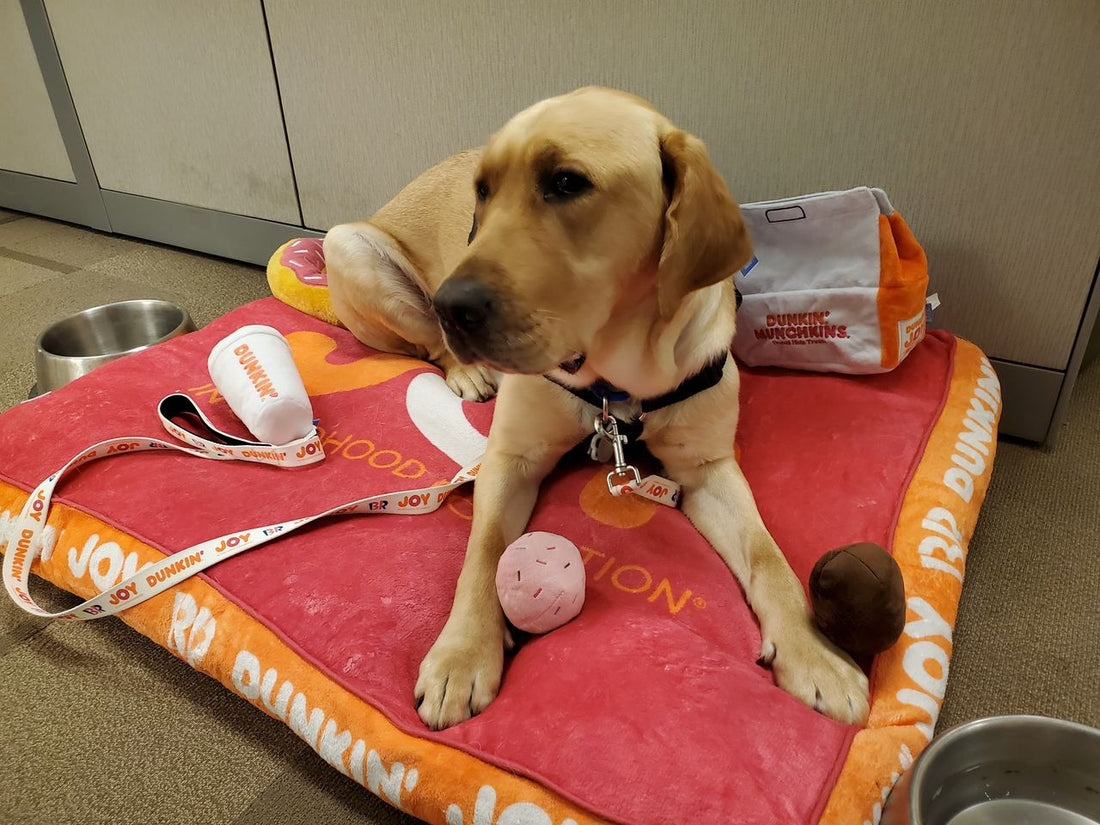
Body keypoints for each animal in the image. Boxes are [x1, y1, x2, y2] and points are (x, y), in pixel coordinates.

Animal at [321, 89, 871, 730]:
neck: (618, 380)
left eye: (566, 182)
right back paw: (465, 370)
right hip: (348, 246)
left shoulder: (708, 470)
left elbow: (768, 555)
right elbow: (483, 550)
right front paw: (462, 653)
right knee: (427, 346)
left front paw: (816, 654)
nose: (451, 304)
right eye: (483, 190)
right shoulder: (511, 458)